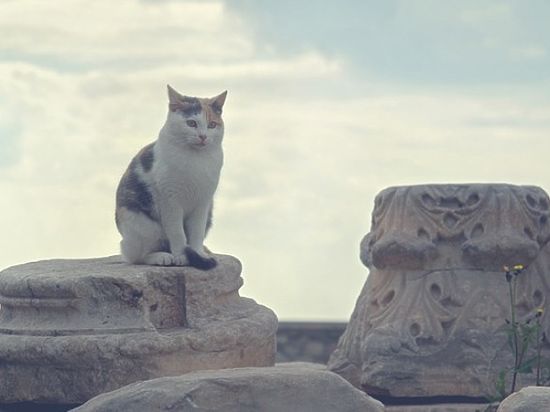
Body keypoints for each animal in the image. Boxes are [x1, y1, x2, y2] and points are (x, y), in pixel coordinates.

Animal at [116, 85, 229, 268]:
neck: (196, 160)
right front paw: (181, 256)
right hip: (141, 225)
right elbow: (177, 233)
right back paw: (162, 257)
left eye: (212, 125)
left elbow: (196, 233)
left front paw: (197, 253)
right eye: (191, 123)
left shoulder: (203, 202)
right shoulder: (170, 201)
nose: (203, 136)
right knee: (135, 257)